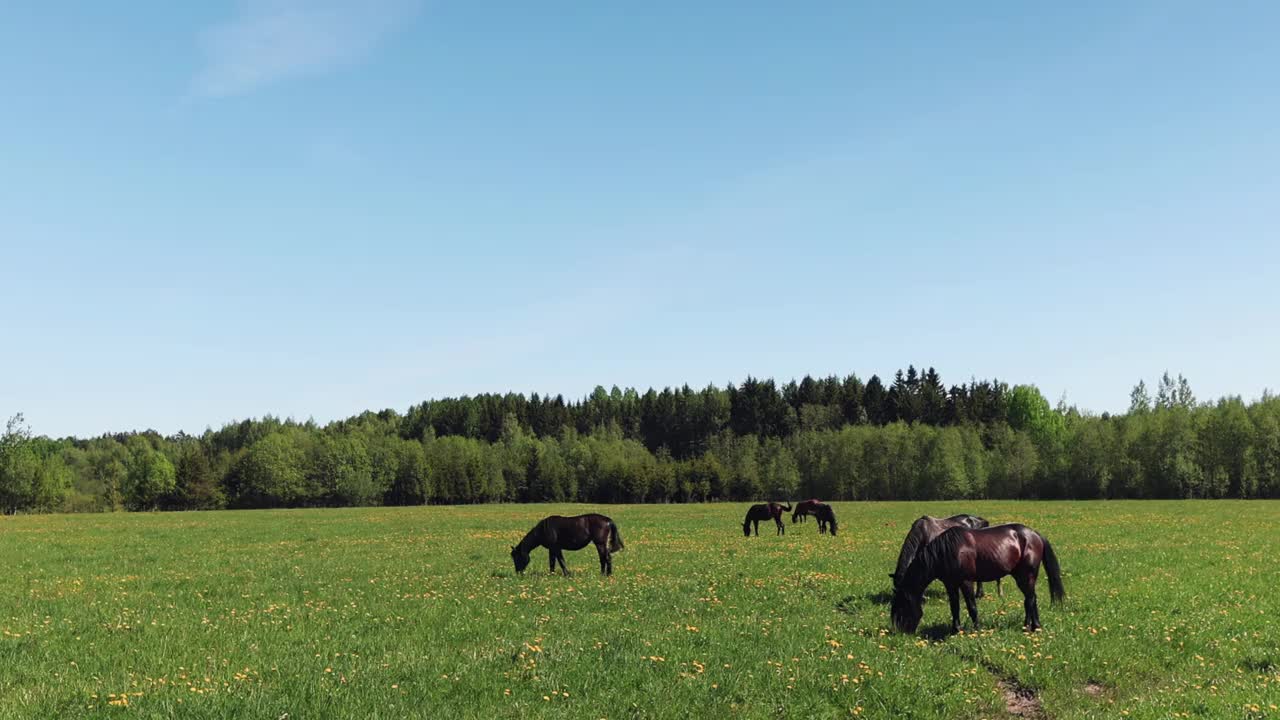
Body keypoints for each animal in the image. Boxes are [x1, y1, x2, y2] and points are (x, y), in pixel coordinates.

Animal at [890, 520, 1059, 632]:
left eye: (901, 606)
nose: (900, 633)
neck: (947, 551)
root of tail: (1035, 534)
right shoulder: (950, 584)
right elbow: (954, 607)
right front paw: (956, 630)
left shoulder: (966, 581)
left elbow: (972, 607)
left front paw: (977, 630)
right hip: (1021, 576)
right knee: (1031, 598)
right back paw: (1034, 626)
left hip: (1027, 575)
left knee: (1029, 599)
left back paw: (1029, 626)